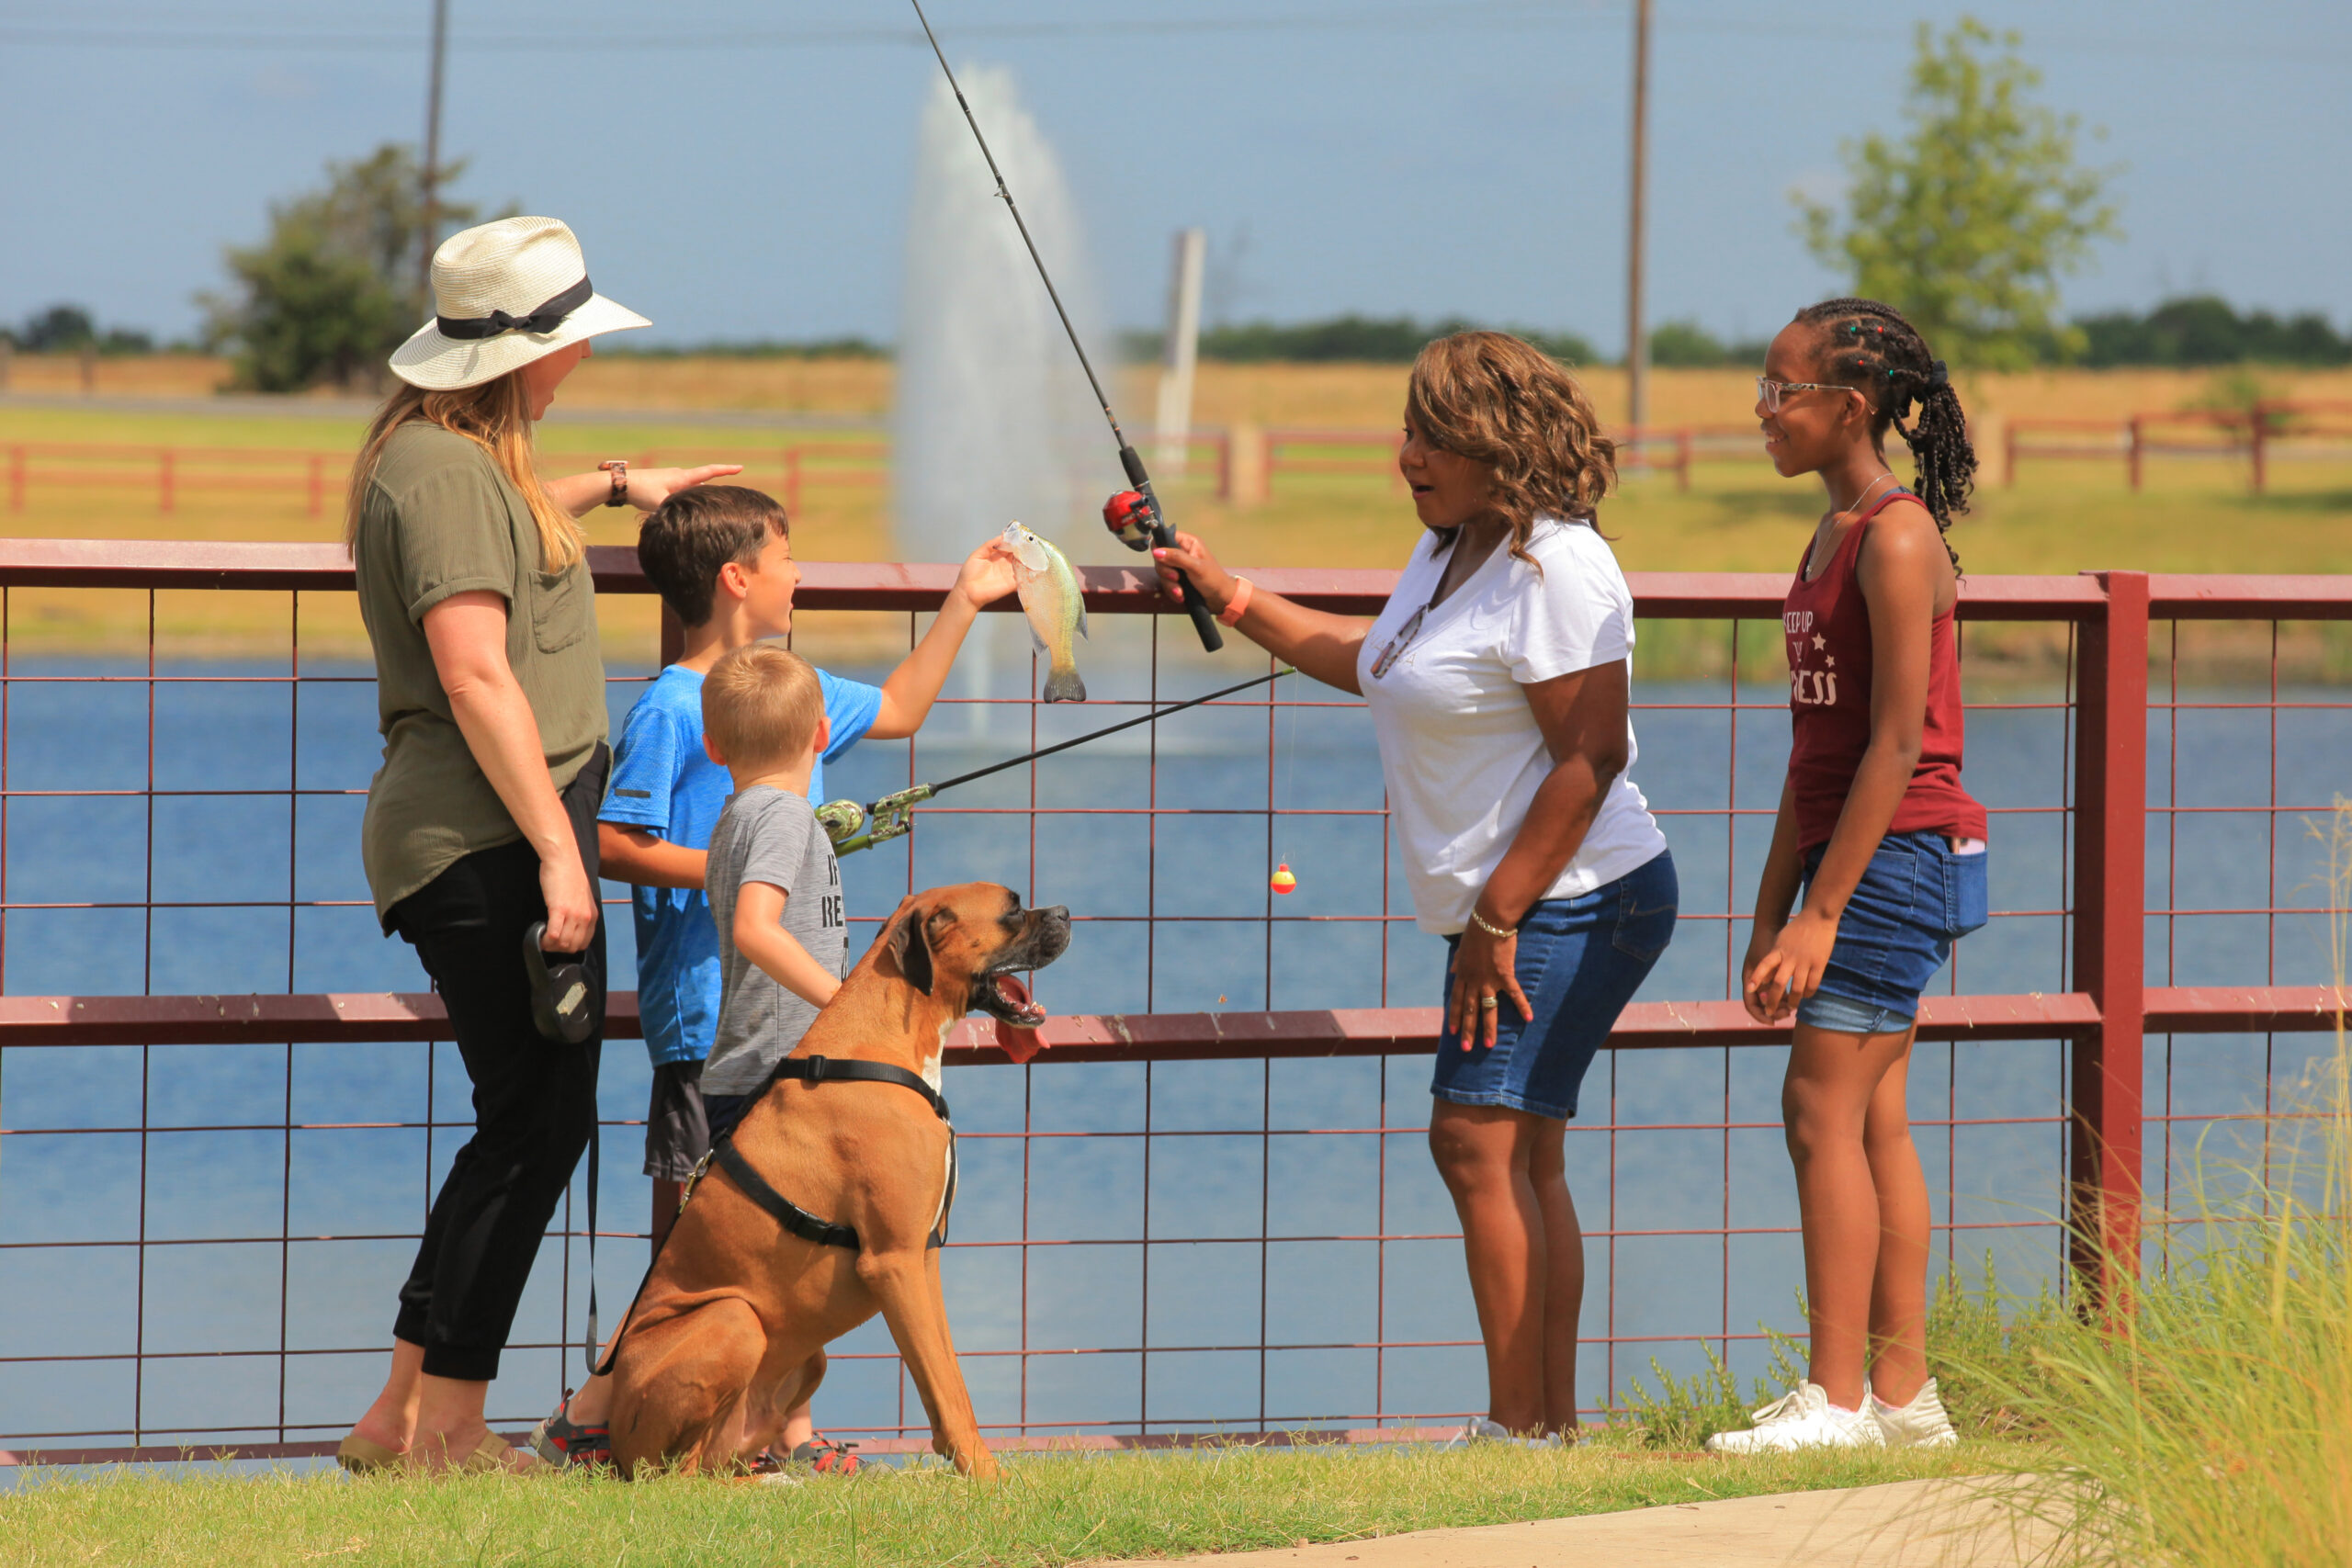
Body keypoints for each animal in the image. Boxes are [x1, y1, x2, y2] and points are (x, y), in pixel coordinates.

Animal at [616, 884, 1077, 1485]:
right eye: (1013, 909)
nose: (1067, 913)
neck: (886, 1043)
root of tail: (612, 1439)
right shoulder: (895, 1261)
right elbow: (942, 1383)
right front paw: (986, 1478)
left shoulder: (922, 1260)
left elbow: (946, 1375)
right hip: (734, 1320)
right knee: (679, 1474)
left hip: (802, 1364)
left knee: (717, 1463)